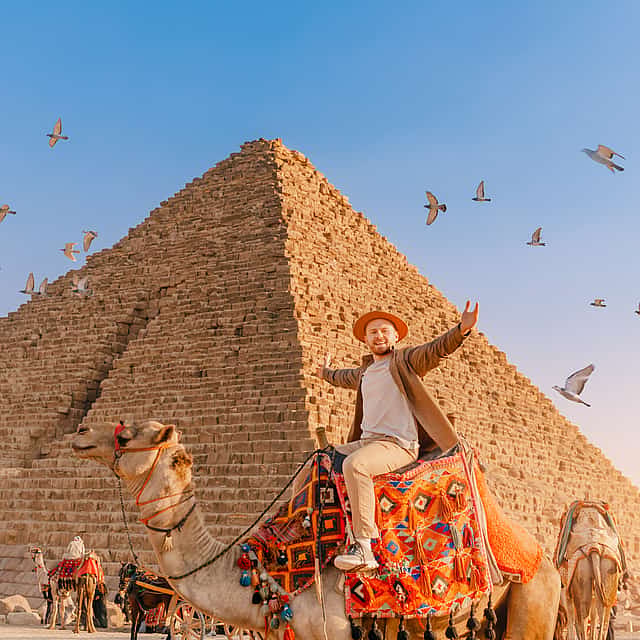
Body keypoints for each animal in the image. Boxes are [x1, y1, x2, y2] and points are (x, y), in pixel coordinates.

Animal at [554, 501, 625, 640]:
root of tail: (594, 547)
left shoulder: (566, 591)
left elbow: (573, 619)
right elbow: (593, 617)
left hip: (580, 569)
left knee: (582, 614)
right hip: (608, 567)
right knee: (603, 614)